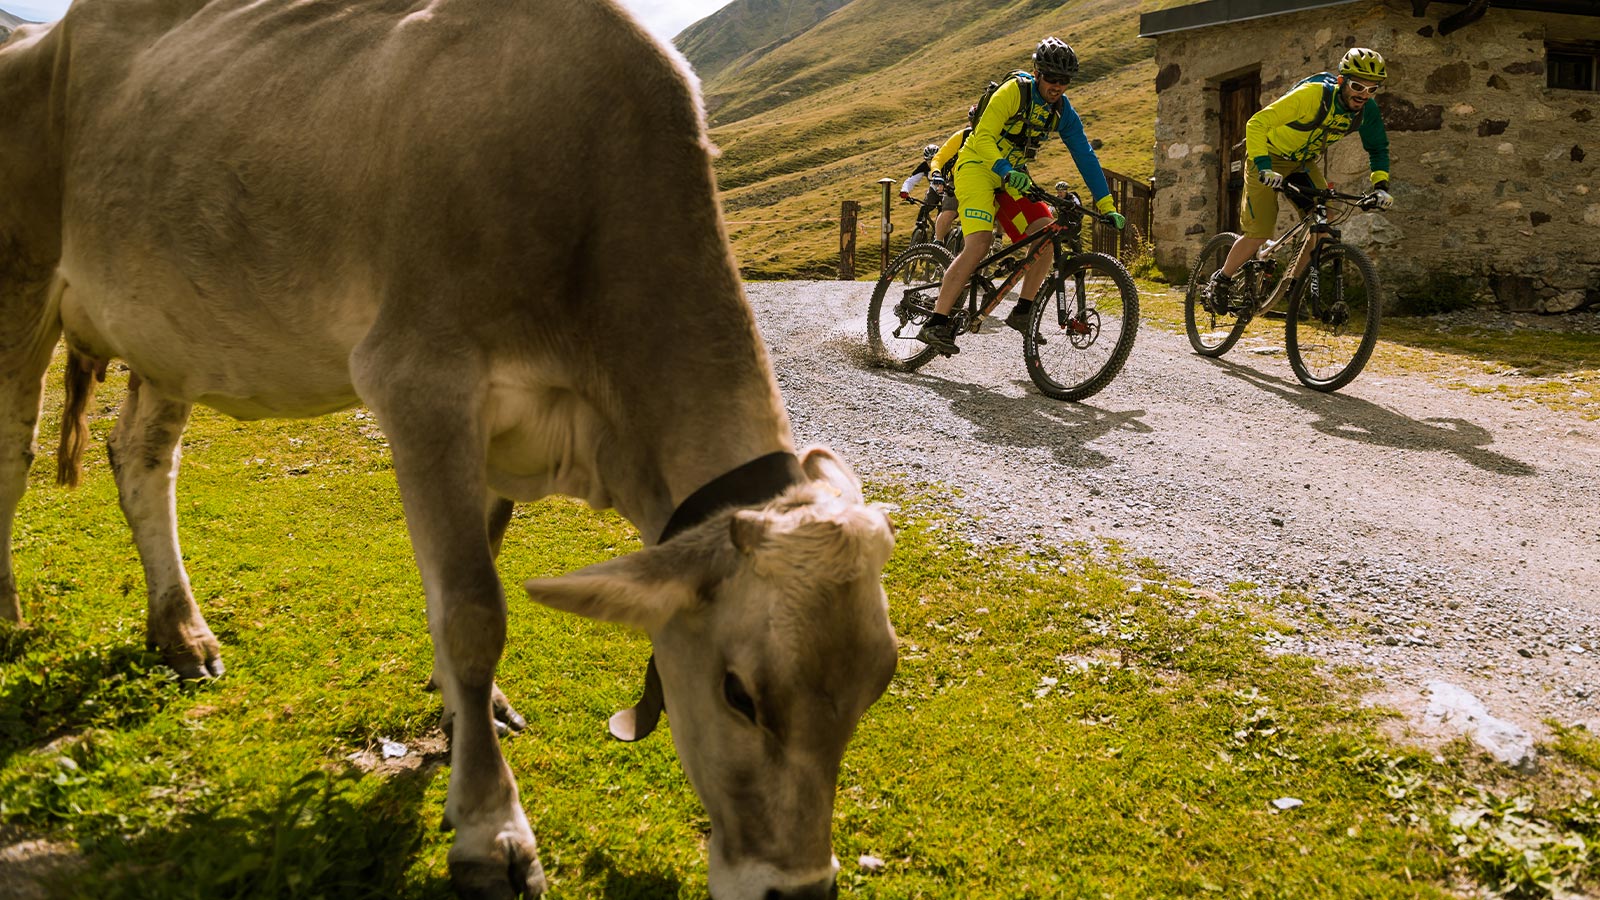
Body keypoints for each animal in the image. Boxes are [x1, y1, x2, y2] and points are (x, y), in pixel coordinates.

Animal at [0, 1, 902, 896]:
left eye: (877, 683)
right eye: (738, 693)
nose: (798, 889)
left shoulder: (501, 434)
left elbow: (477, 575)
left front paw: (465, 709)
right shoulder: (421, 380)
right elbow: (473, 611)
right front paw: (491, 828)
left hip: (170, 329)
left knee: (142, 460)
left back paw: (181, 633)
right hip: (22, 286)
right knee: (12, 458)